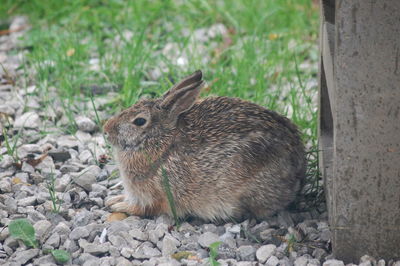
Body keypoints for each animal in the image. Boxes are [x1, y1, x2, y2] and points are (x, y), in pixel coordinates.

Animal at [103, 69, 306, 221]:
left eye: (139, 121)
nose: (106, 130)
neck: (162, 140)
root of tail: (299, 173)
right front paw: (114, 199)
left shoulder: (157, 196)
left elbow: (144, 209)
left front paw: (119, 206)